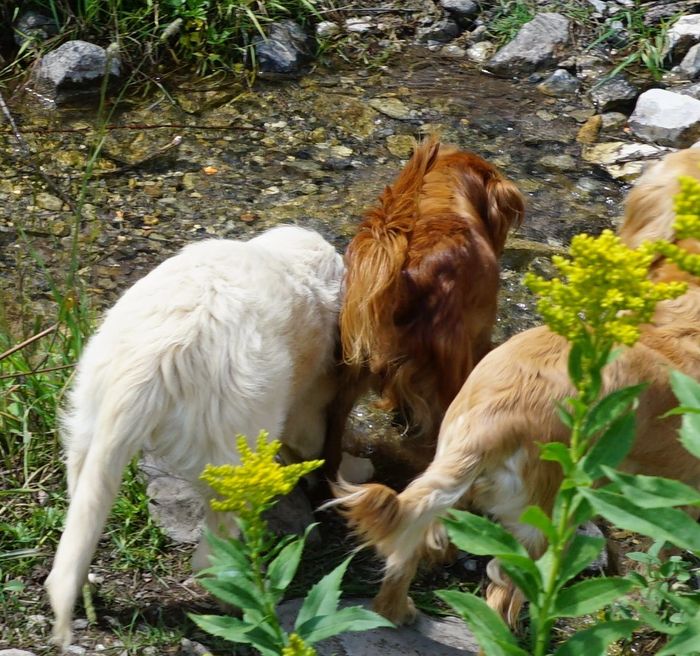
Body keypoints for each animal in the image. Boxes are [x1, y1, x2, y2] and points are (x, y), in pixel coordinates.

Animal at [45, 226, 346, 644]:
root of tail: (149, 361)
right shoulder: (312, 391)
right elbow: (309, 436)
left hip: (87, 411)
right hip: (234, 440)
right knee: (212, 550)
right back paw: (236, 600)